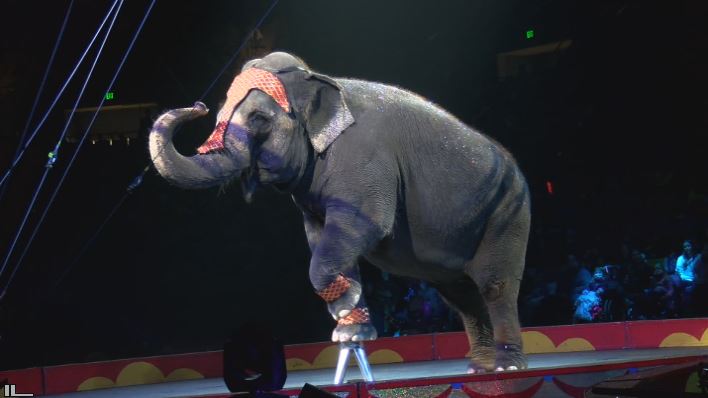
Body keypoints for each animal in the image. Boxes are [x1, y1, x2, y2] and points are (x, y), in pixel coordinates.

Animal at [148, 51, 532, 372]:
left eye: (258, 118)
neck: (316, 80)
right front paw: (352, 331)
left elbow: (365, 225)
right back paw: (480, 367)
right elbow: (321, 237)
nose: (196, 105)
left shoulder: (364, 159)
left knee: (495, 286)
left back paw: (506, 367)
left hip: (508, 212)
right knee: (462, 296)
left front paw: (346, 312)